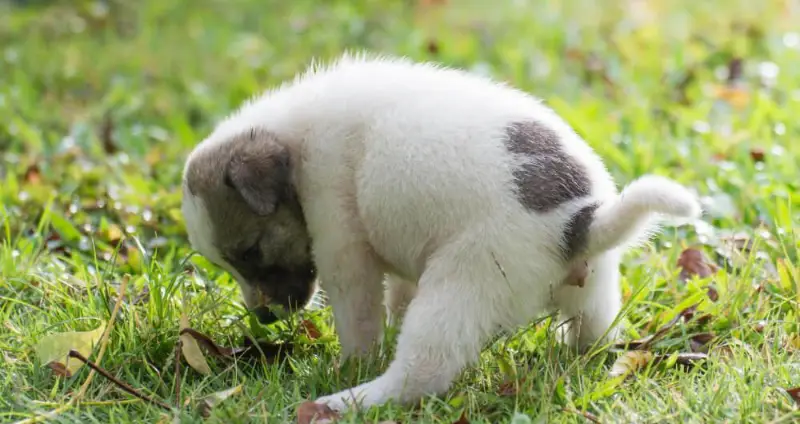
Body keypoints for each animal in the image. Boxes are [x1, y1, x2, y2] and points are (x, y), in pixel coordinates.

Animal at [180, 53, 700, 414]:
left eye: (250, 251)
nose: (264, 319)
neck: (294, 143)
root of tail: (583, 221)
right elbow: (397, 295)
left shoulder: (339, 238)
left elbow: (358, 316)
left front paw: (352, 363)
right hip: (594, 291)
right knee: (593, 334)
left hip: (464, 284)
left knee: (421, 373)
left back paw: (345, 399)